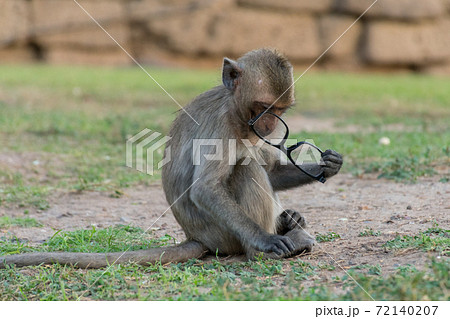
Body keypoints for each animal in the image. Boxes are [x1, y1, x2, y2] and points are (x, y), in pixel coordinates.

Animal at [0, 48, 342, 268]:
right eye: (263, 108)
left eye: (280, 110)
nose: (270, 126)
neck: (234, 109)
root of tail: (196, 237)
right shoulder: (223, 126)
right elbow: (205, 188)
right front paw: (265, 241)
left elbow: (272, 170)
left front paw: (327, 165)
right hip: (222, 235)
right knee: (244, 170)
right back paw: (267, 246)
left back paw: (289, 222)